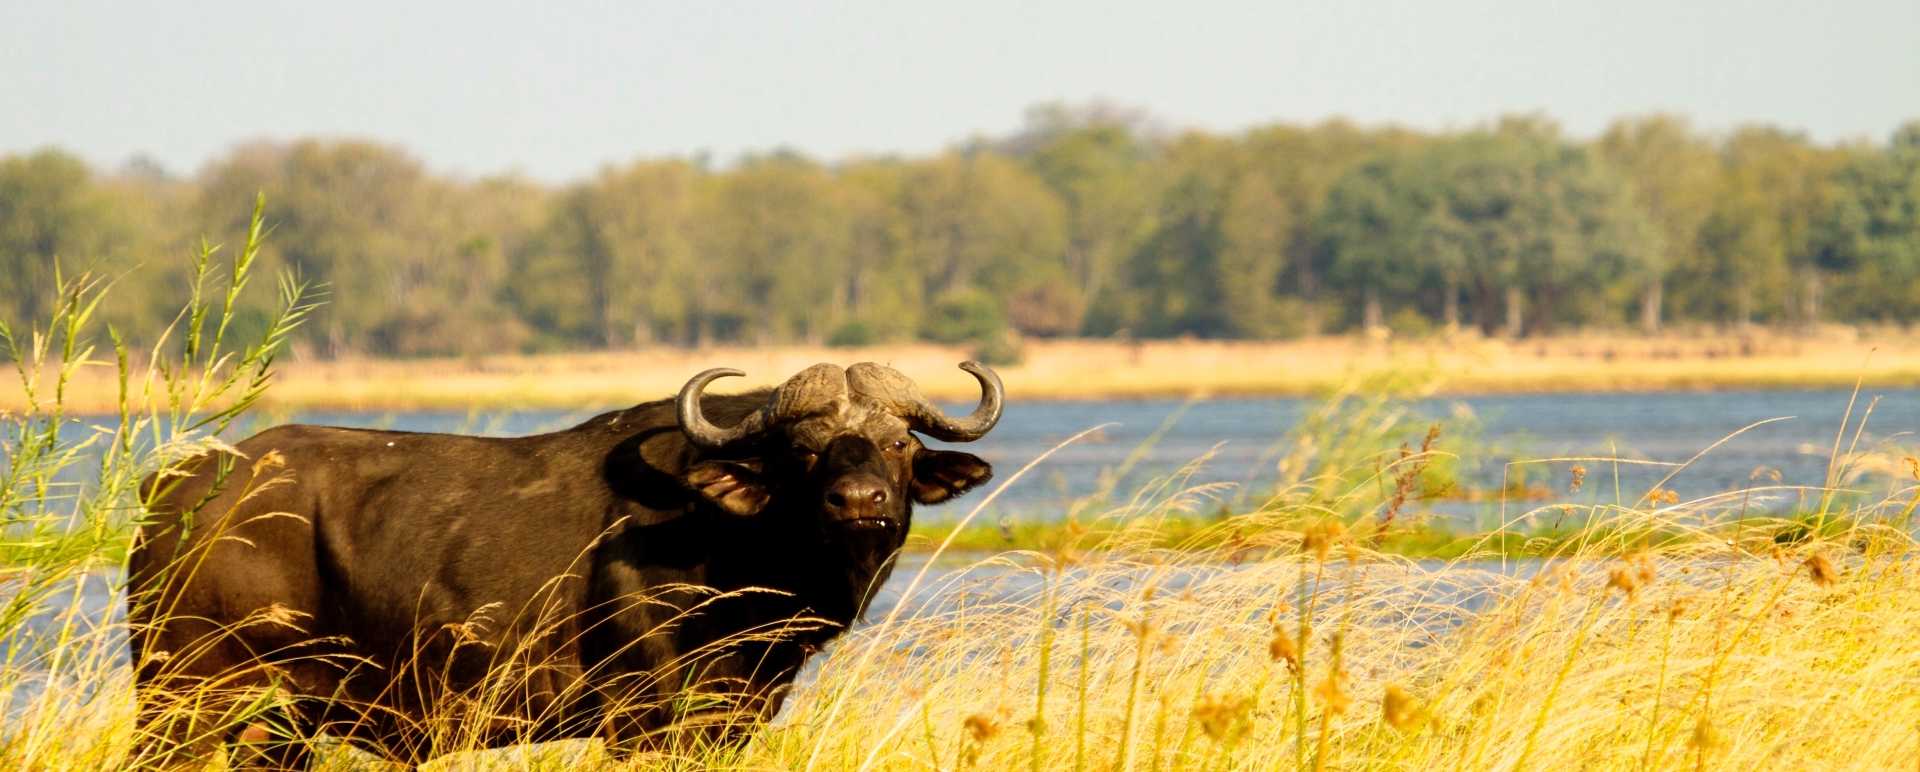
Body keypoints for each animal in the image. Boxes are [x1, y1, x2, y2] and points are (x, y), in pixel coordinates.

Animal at [128, 361, 1002, 768]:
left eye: (898, 444)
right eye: (805, 450)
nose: (860, 501)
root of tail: (175, 489)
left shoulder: (734, 719)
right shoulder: (647, 724)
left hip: (277, 723)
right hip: (183, 701)